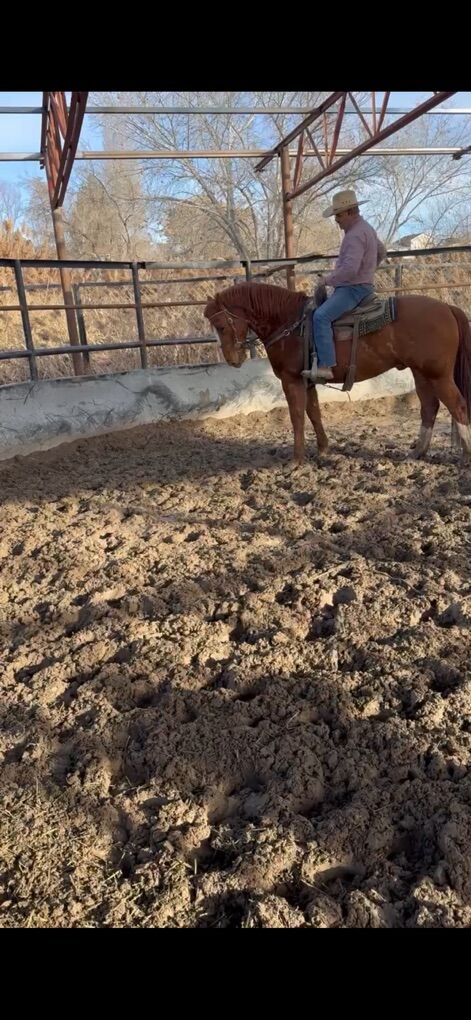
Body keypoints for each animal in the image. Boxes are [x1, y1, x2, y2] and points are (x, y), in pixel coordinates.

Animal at [204, 281, 471, 464]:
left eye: (220, 325)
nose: (233, 359)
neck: (290, 324)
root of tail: (447, 308)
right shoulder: (308, 381)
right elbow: (314, 413)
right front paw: (323, 450)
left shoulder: (291, 381)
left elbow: (297, 417)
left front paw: (296, 460)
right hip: (421, 374)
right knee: (429, 407)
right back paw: (417, 452)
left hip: (439, 376)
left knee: (457, 406)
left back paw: (466, 454)